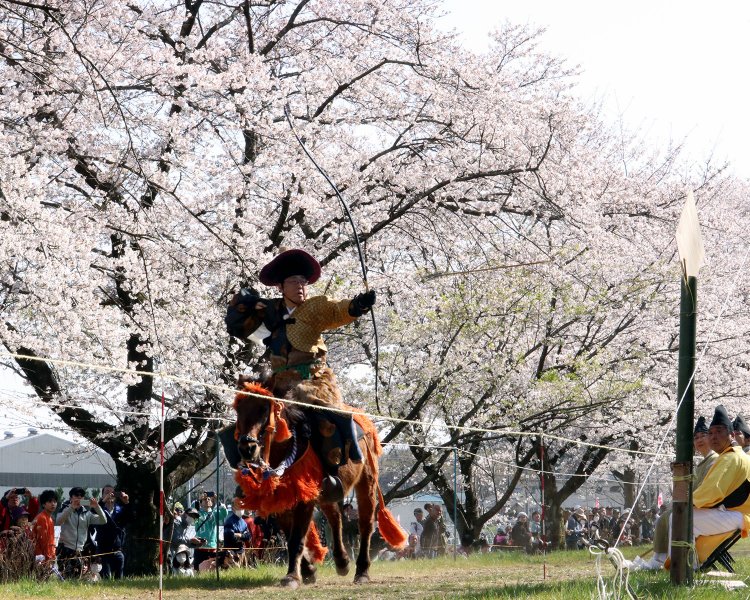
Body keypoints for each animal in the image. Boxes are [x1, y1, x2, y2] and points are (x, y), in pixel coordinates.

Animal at [232, 379, 407, 588]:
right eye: (239, 409)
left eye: (264, 409)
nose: (247, 447)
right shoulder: (279, 499)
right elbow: (291, 535)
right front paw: (308, 571)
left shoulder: (304, 499)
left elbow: (296, 539)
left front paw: (292, 576)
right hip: (327, 492)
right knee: (335, 517)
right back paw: (342, 561)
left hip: (367, 481)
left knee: (365, 523)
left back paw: (362, 571)